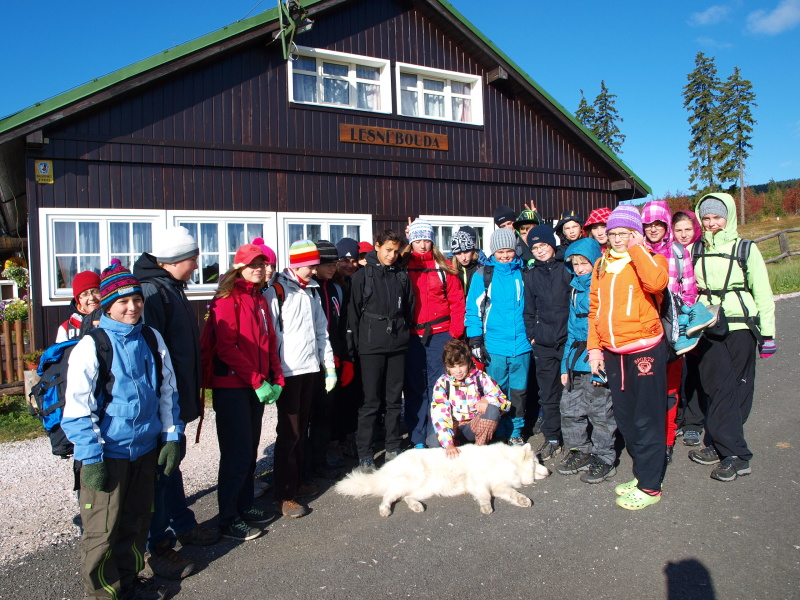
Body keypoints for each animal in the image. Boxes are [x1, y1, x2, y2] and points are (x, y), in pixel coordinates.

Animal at [335, 443, 550, 516]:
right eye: (536, 462)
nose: (549, 472)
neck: (508, 460)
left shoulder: (499, 485)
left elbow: (513, 493)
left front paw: (523, 500)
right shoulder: (479, 482)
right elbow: (485, 496)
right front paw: (486, 507)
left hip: (426, 488)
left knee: (406, 497)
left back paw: (416, 506)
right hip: (412, 479)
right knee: (388, 495)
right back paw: (385, 509)